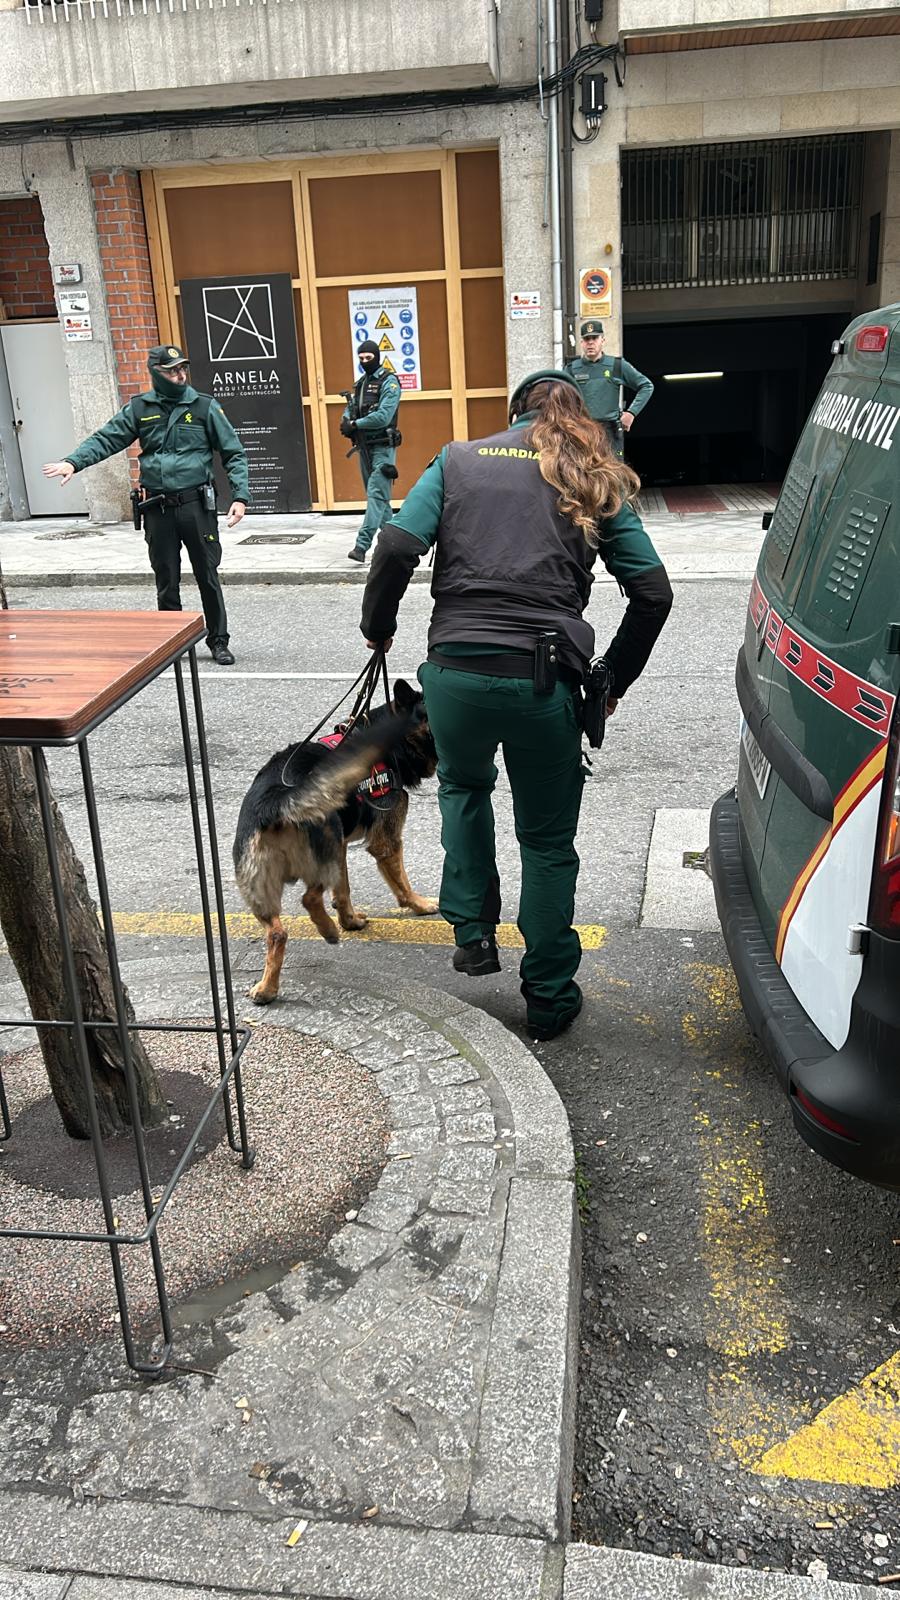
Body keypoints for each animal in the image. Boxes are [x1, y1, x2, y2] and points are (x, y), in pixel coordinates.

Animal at [232, 678, 435, 1004]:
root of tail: (277, 800)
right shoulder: (385, 841)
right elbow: (402, 883)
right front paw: (420, 904)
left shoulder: (341, 846)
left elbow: (344, 891)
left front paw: (349, 920)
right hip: (320, 856)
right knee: (309, 898)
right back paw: (327, 930)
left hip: (261, 884)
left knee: (277, 932)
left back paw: (267, 988)